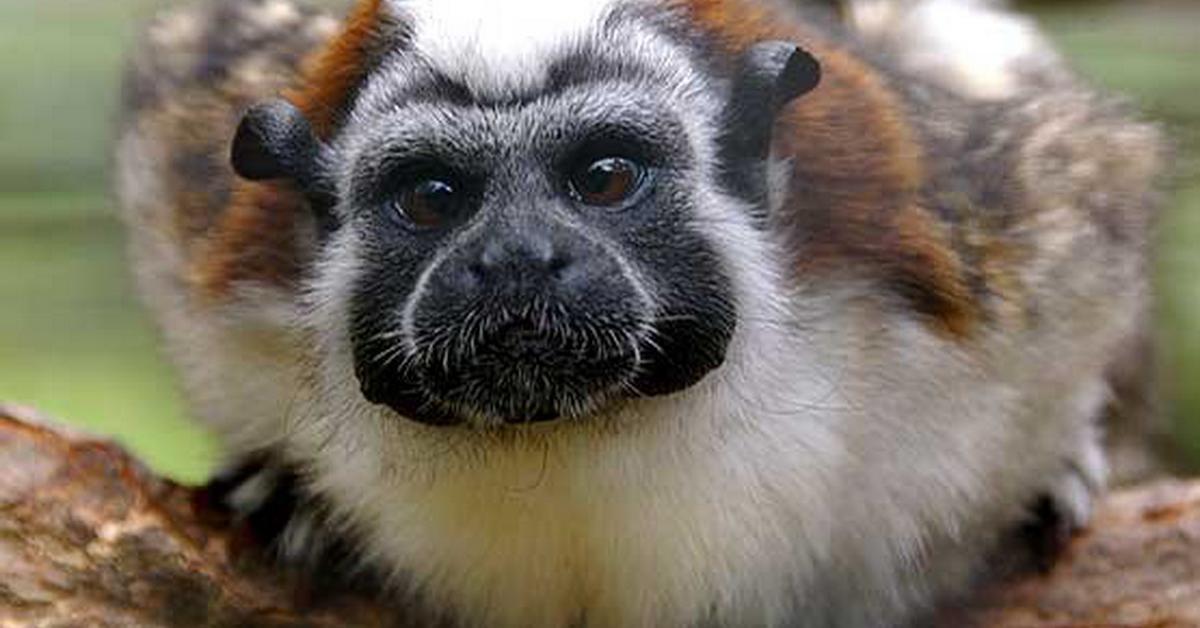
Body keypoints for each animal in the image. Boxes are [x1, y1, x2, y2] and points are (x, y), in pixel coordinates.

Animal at [114, 0, 1161, 624]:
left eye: (606, 178)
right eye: (433, 198)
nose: (516, 261)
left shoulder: (996, 240)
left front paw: (1069, 456)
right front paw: (287, 488)